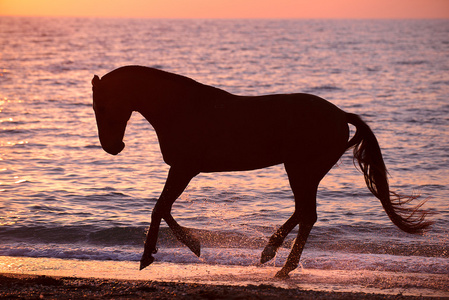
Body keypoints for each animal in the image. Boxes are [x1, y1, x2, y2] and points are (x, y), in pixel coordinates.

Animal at [91, 65, 430, 278]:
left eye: (101, 107)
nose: (113, 147)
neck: (181, 108)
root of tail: (340, 115)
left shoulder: (184, 168)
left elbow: (159, 207)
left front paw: (157, 254)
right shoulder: (183, 169)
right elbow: (163, 208)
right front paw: (183, 247)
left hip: (301, 170)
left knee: (307, 214)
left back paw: (281, 265)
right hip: (304, 171)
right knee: (303, 212)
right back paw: (271, 253)